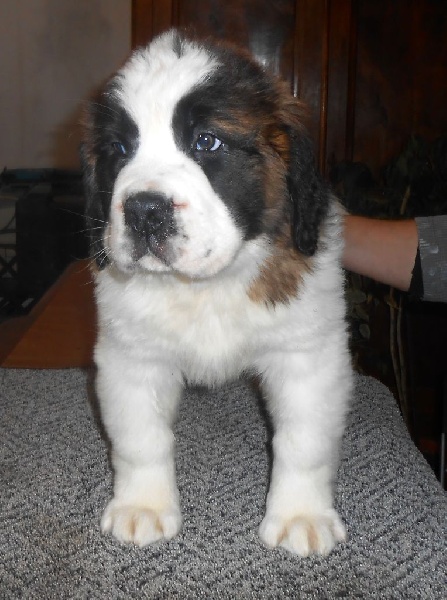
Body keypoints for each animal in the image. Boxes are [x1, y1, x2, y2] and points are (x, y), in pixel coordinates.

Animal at [81, 29, 352, 557]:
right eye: (120, 148)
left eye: (207, 141)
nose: (144, 210)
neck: (206, 285)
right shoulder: (131, 357)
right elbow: (140, 438)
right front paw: (142, 505)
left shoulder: (308, 355)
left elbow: (303, 442)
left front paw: (301, 515)